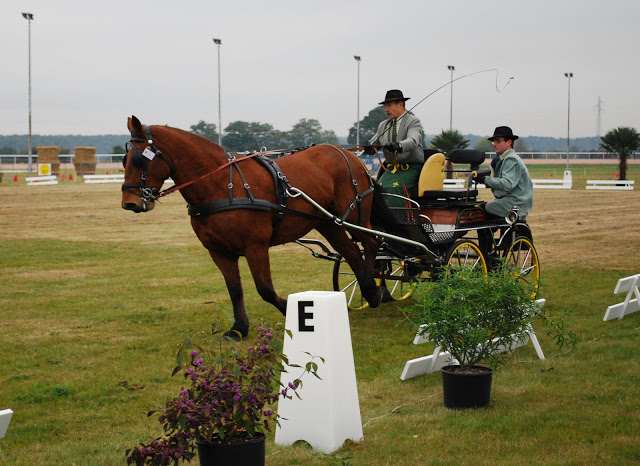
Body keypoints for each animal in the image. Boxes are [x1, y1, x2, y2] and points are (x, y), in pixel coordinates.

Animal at [120, 114, 390, 336]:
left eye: (139, 159)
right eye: (124, 160)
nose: (129, 203)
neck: (222, 185)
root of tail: (350, 155)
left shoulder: (255, 247)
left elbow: (265, 289)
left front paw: (291, 314)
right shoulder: (219, 251)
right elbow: (235, 290)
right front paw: (239, 328)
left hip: (353, 216)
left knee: (371, 243)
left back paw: (374, 290)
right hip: (329, 223)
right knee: (352, 253)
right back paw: (370, 291)